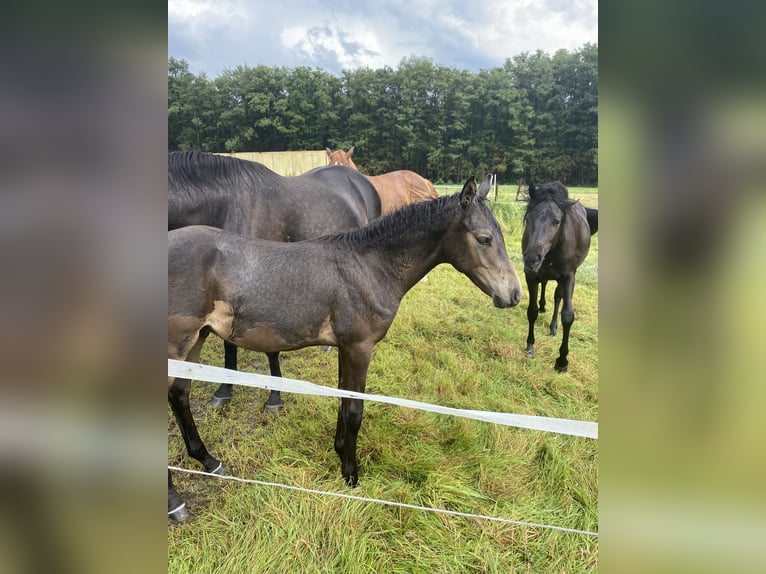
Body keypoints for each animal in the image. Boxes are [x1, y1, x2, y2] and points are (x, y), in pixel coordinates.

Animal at [520, 183, 596, 374]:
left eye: (557, 221)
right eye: (528, 219)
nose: (531, 258)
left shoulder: (568, 277)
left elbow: (567, 316)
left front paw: (562, 361)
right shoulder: (531, 275)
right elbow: (531, 311)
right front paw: (530, 346)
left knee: (557, 297)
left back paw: (553, 328)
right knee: (546, 285)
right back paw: (543, 307)